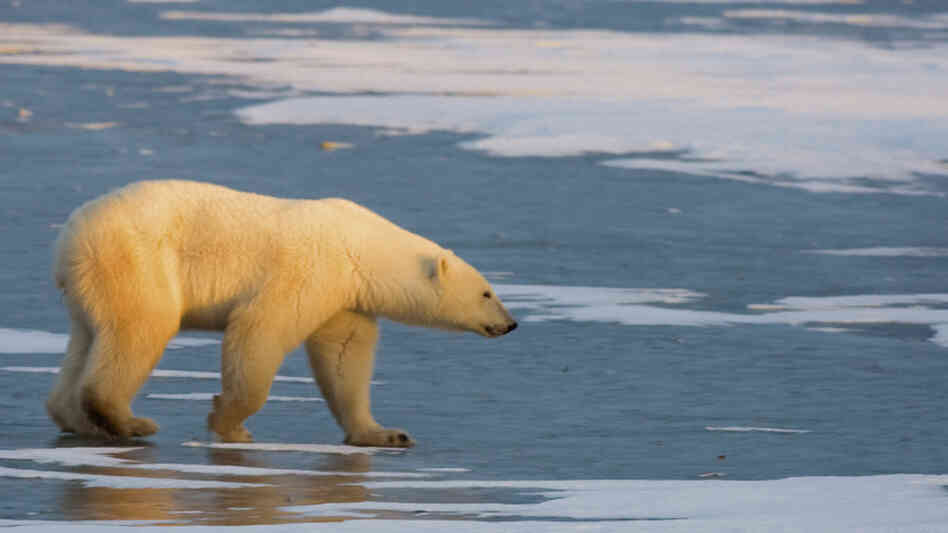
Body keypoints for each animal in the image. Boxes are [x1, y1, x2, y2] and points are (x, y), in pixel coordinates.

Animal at [46, 180, 517, 446]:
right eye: (487, 292)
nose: (510, 324)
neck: (360, 247)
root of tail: (71, 234)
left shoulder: (345, 297)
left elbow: (345, 357)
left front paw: (385, 433)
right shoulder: (310, 269)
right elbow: (260, 330)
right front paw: (229, 422)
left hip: (92, 281)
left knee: (88, 338)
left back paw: (76, 418)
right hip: (137, 259)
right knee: (143, 327)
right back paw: (129, 422)